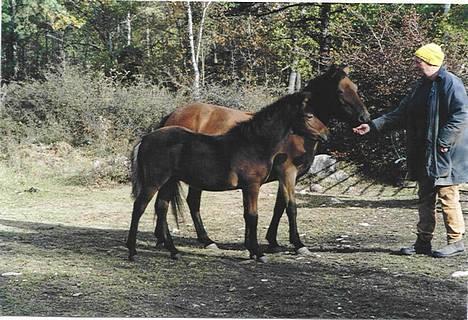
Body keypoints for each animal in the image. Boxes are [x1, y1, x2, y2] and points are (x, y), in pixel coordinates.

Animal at [126, 91, 328, 262]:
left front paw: (251, 251)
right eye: (309, 115)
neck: (252, 144)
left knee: (161, 207)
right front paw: (258, 253)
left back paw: (173, 251)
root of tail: (145, 139)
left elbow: (247, 215)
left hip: (169, 182)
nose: (326, 133)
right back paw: (132, 250)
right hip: (154, 182)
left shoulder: (246, 187)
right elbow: (253, 216)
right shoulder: (253, 185)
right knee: (139, 207)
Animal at [159, 65, 372, 255]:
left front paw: (272, 241)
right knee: (185, 202)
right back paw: (202, 241)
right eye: (340, 91)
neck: (293, 132)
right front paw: (298, 244)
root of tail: (172, 116)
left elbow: (279, 207)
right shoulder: (287, 172)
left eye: (355, 88)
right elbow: (291, 207)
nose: (365, 118)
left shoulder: (286, 176)